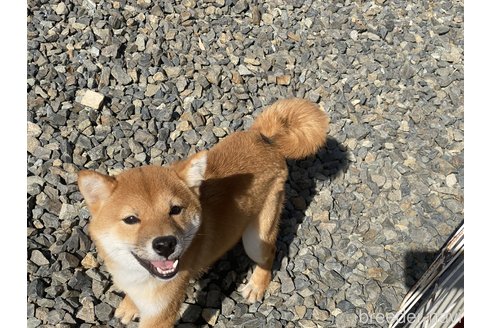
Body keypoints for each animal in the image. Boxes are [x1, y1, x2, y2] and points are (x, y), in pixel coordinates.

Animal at [79, 98, 328, 326]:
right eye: (131, 219)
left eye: (175, 210)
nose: (165, 244)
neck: (137, 275)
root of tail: (263, 137)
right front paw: (129, 306)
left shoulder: (162, 313)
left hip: (255, 239)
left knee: (270, 253)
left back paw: (257, 285)